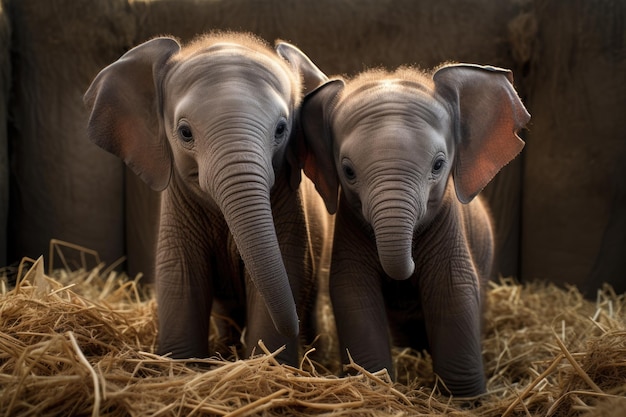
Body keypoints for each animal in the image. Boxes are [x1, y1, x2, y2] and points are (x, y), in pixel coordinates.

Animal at [84, 31, 330, 364]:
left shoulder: (288, 203)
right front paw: (181, 364)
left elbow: (290, 270)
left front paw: (269, 360)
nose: (293, 327)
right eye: (185, 133)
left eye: (281, 129)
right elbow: (181, 278)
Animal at [298, 63, 528, 394]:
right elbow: (351, 289)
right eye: (348, 171)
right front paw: (373, 387)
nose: (406, 274)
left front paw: (466, 399)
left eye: (438, 165)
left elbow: (453, 288)